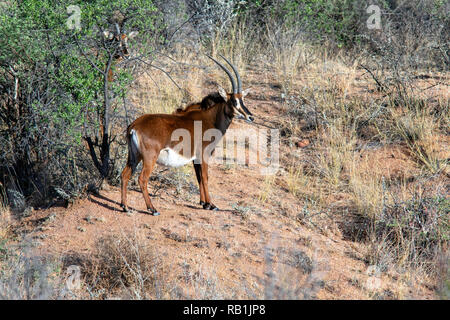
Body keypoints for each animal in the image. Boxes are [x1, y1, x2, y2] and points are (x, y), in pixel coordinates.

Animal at [119, 55, 253, 216]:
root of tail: (134, 126)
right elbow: (205, 178)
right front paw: (211, 205)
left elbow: (199, 178)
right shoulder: (204, 154)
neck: (209, 118)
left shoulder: (195, 158)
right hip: (150, 157)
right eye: (233, 101)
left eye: (242, 100)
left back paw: (125, 206)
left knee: (125, 175)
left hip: (134, 155)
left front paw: (203, 203)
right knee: (142, 179)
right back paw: (152, 209)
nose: (251, 116)